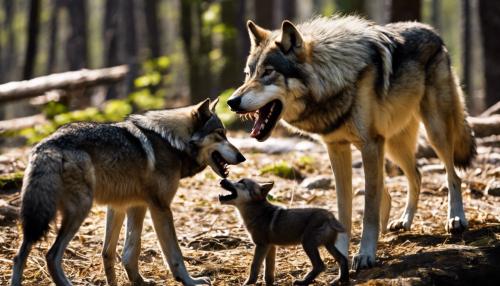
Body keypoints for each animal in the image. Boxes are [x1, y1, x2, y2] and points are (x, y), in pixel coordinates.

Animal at [10, 97, 245, 284]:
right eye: (220, 134)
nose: (242, 157)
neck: (172, 142)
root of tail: (47, 145)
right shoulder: (160, 207)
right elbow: (174, 255)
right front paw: (190, 281)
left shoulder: (128, 206)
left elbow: (122, 252)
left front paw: (137, 281)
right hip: (79, 210)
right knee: (51, 256)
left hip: (40, 213)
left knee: (19, 255)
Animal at [219, 178, 348, 284]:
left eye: (242, 182)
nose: (222, 180)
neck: (258, 212)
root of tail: (330, 216)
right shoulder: (271, 246)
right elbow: (269, 271)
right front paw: (269, 283)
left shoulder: (261, 245)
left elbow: (254, 267)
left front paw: (248, 283)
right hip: (328, 245)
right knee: (343, 259)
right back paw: (341, 280)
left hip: (308, 244)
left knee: (320, 265)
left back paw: (303, 282)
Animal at [227, 15, 476, 270]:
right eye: (248, 73)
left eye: (268, 72)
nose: (231, 102)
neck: (334, 80)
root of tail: (431, 31)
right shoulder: (337, 148)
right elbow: (344, 209)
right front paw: (341, 254)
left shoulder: (370, 144)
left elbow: (368, 209)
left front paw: (365, 254)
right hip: (393, 145)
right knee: (414, 176)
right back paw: (403, 221)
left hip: (434, 132)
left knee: (452, 176)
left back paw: (456, 218)